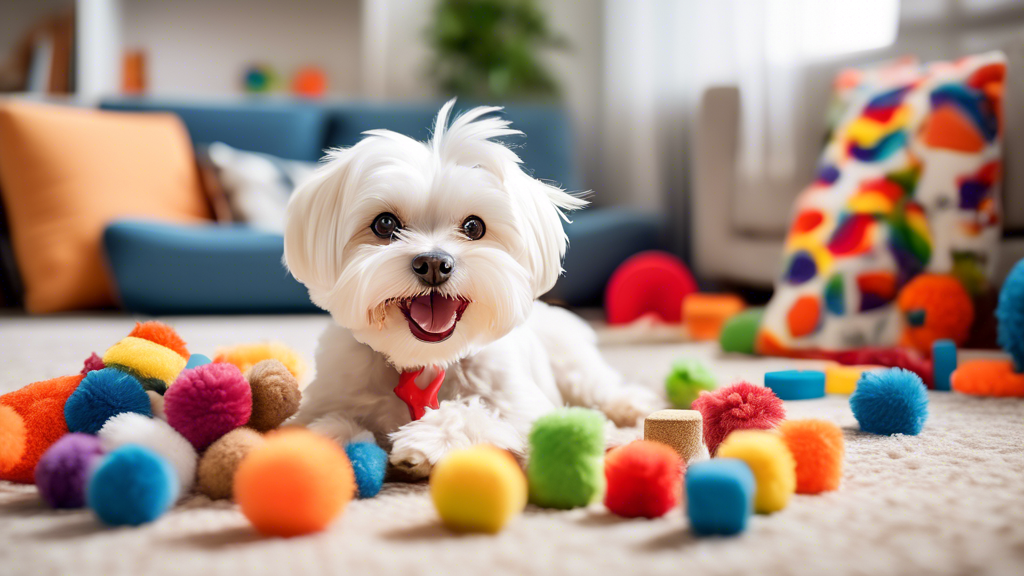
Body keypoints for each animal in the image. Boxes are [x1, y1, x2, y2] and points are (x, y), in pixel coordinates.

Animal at [284, 100, 659, 477]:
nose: (433, 263)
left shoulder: (520, 406)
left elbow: (475, 413)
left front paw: (425, 441)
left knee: (599, 387)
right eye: (385, 224)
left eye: (473, 227)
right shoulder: (329, 396)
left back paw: (631, 409)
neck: (424, 360)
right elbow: (327, 424)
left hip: (571, 361)